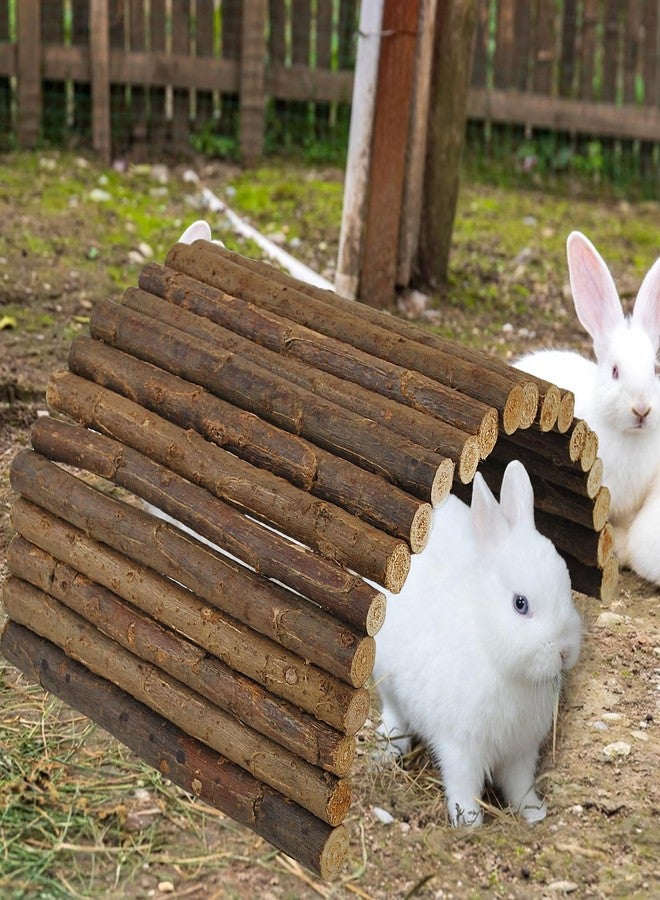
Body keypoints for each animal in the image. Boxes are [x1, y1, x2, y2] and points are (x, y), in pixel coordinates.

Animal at [373, 460, 582, 827]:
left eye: (567, 587)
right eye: (520, 604)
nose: (564, 651)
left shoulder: (521, 751)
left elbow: (521, 785)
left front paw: (534, 813)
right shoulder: (461, 748)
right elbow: (464, 785)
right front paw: (469, 823)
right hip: (387, 680)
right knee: (394, 714)